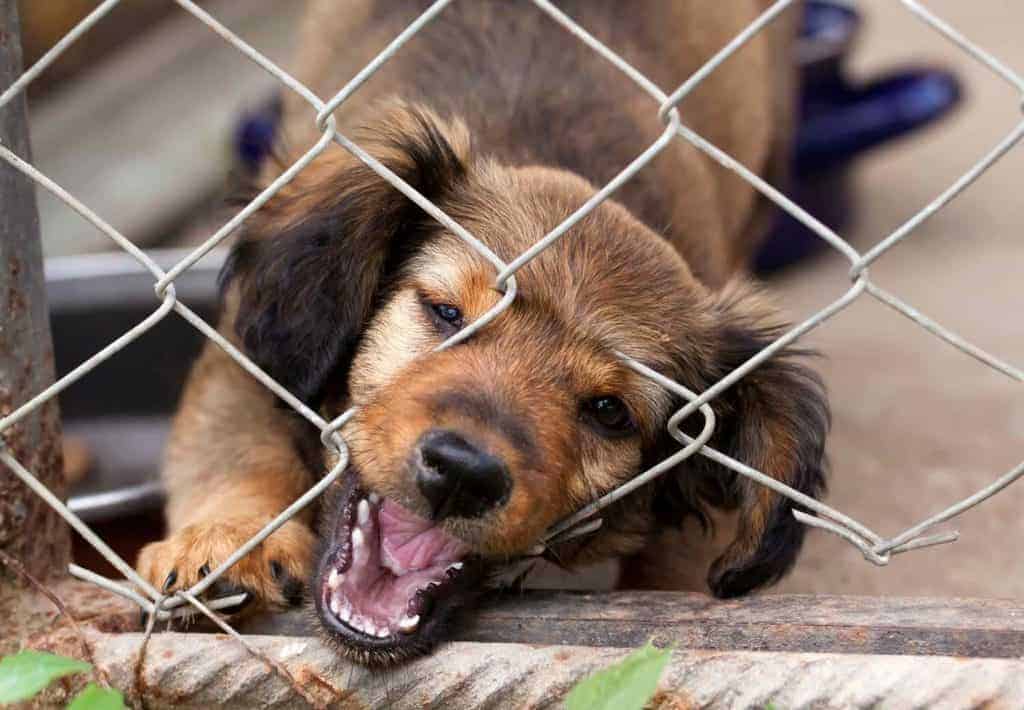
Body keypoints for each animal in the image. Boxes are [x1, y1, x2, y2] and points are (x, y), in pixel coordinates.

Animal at [136, 1, 827, 663]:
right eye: (445, 312)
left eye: (610, 411)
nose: (463, 475)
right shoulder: (248, 348)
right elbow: (236, 442)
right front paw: (228, 541)